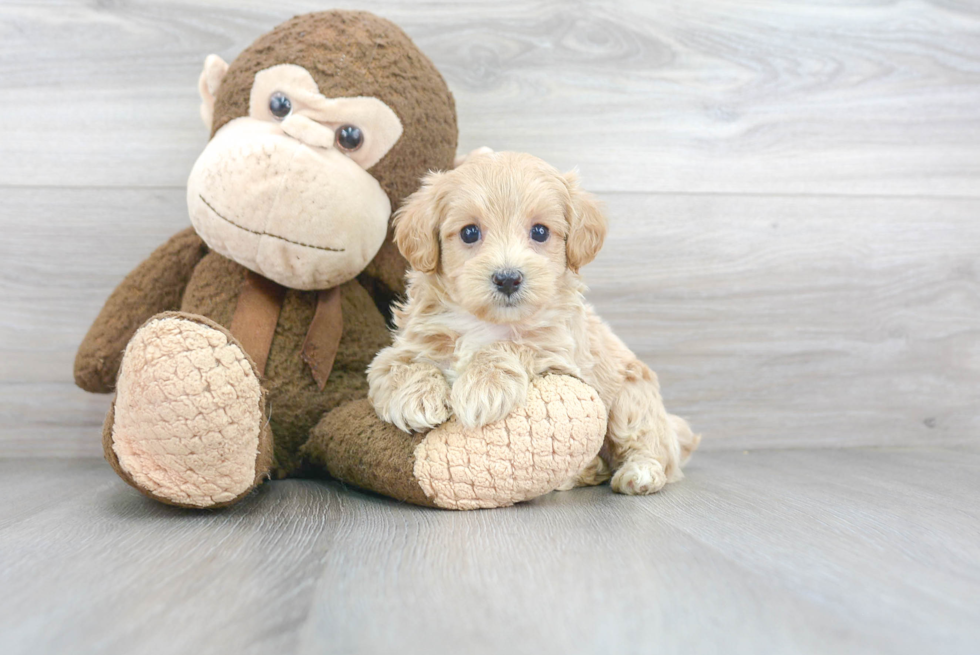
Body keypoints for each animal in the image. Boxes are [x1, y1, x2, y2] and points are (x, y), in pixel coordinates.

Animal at [366, 151, 696, 494]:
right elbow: (398, 364)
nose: (508, 278)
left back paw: (640, 473)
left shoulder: (560, 356)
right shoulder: (405, 344)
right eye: (470, 232)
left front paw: (483, 387)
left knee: (652, 448)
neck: (483, 321)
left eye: (540, 232)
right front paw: (416, 397)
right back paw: (590, 470)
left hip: (632, 400)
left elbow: (512, 346)